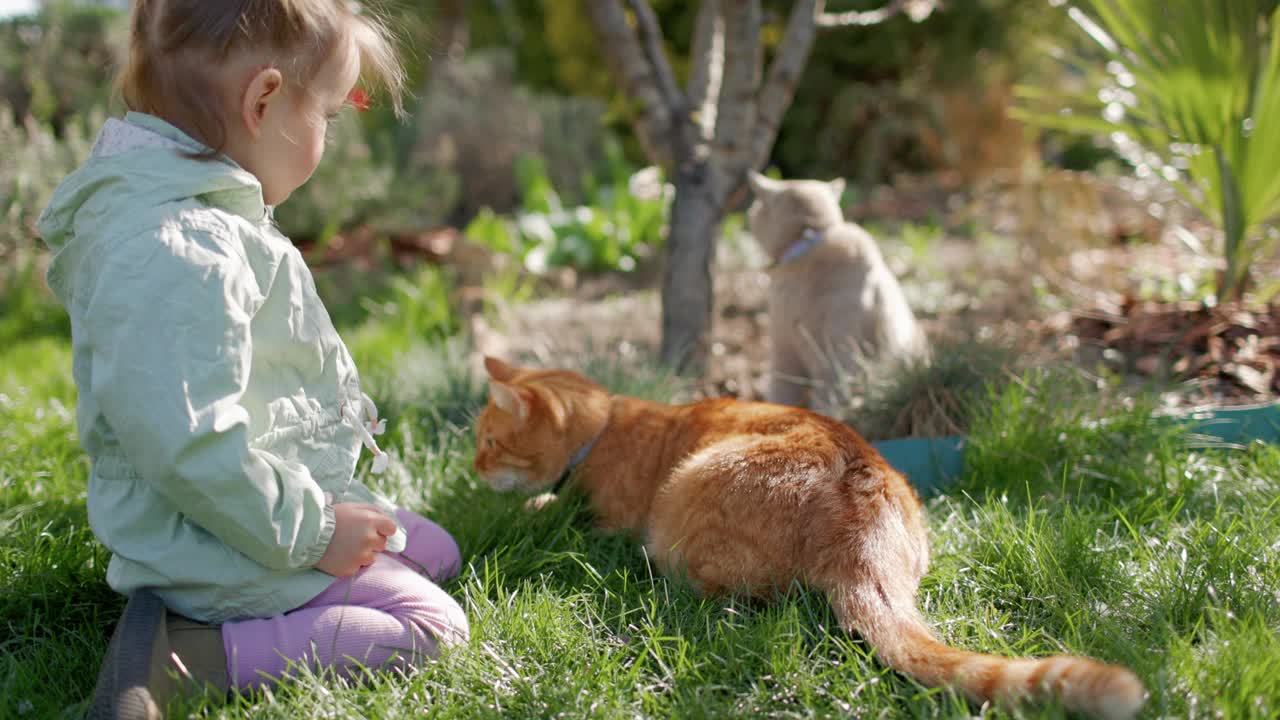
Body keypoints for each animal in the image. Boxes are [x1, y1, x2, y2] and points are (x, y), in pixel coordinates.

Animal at [476, 356, 1146, 712]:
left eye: (488, 441)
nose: (472, 467)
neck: (606, 426)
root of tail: (859, 531)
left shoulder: (604, 522)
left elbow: (548, 509)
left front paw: (522, 506)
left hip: (680, 520)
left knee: (733, 599)